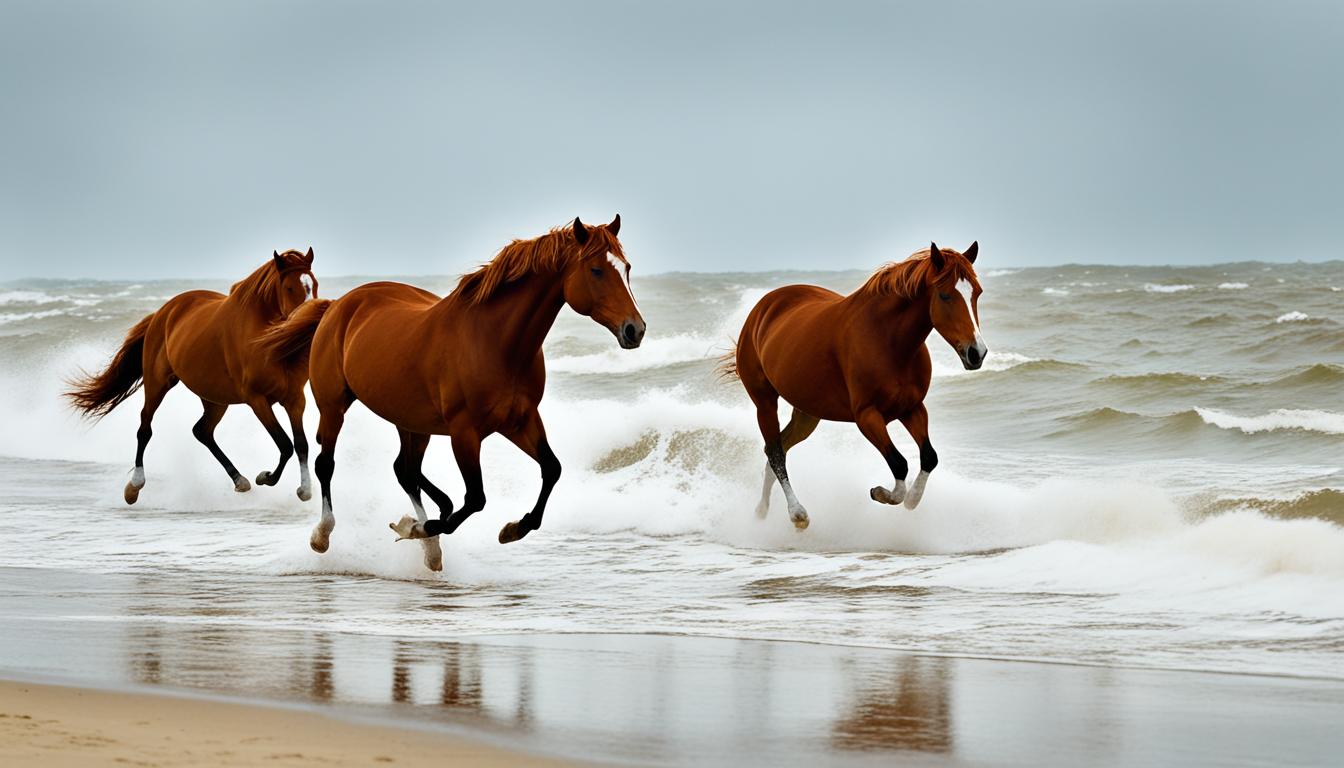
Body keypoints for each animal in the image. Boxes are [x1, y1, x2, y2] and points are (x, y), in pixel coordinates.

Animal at [66, 248, 321, 508]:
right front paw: (266, 477)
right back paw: (134, 486)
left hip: (215, 398)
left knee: (202, 431)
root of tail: (163, 312)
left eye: (314, 284)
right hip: (158, 383)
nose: (311, 317)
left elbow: (301, 444)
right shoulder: (257, 399)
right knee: (145, 426)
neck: (269, 341)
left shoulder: (294, 399)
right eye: (289, 287)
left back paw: (239, 480)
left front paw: (305, 490)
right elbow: (285, 444)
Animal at [260, 216, 645, 570]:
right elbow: (476, 498)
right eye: (596, 270)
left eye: (626, 268)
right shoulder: (465, 432)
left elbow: (552, 469)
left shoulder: (520, 421)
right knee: (328, 464)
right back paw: (324, 535)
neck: (496, 342)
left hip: (411, 421)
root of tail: (338, 304)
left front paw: (513, 528)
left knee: (405, 470)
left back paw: (429, 545)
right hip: (334, 405)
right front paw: (424, 527)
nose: (635, 330)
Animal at [725, 243, 989, 532]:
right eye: (944, 295)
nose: (977, 353)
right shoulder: (867, 416)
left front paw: (912, 500)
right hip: (765, 402)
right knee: (775, 453)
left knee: (777, 449)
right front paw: (881, 493)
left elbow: (929, 457)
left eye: (977, 292)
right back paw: (797, 514)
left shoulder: (912, 409)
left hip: (807, 414)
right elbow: (899, 464)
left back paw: (761, 510)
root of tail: (762, 308)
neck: (888, 341)